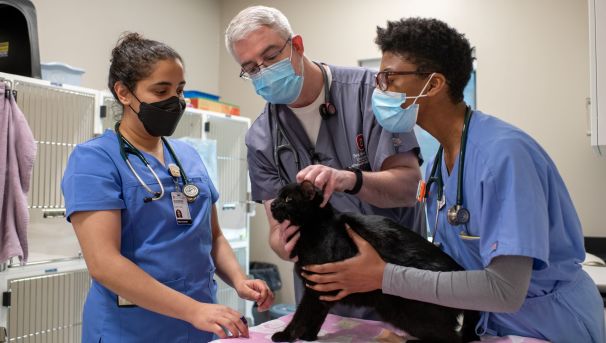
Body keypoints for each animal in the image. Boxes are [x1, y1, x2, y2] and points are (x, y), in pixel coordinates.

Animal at [270, 181, 480, 342]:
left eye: (288, 199)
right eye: (277, 196)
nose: (272, 204)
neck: (314, 227)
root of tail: (459, 270)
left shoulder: (317, 288)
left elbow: (301, 315)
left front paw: (285, 335)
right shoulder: (323, 292)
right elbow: (317, 316)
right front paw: (309, 337)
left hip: (412, 316)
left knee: (452, 338)